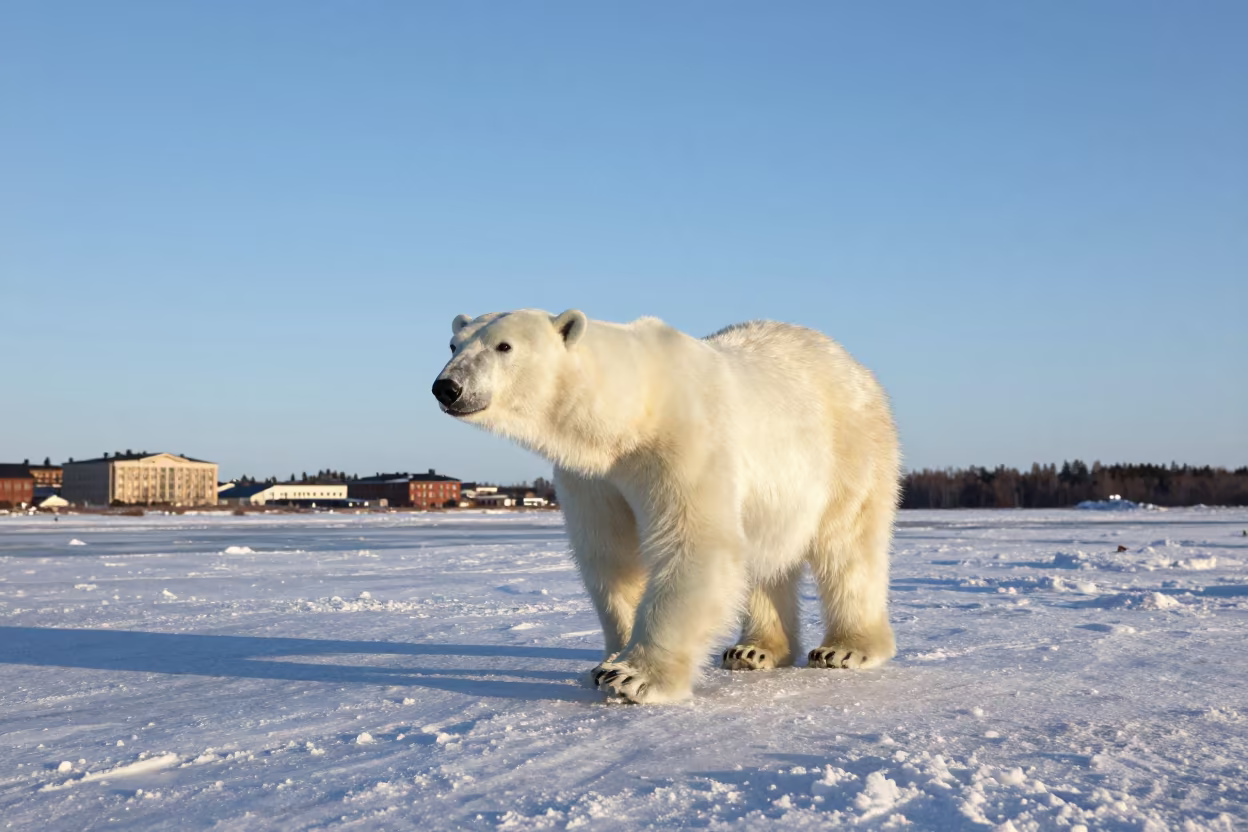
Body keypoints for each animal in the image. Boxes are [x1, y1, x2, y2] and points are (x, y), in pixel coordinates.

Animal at [432, 309, 901, 704]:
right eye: (453, 345)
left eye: (504, 346)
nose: (447, 387)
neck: (633, 410)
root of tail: (855, 366)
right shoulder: (593, 477)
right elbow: (612, 556)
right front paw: (606, 663)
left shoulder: (685, 443)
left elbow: (695, 542)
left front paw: (633, 678)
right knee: (767, 556)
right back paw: (754, 650)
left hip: (849, 448)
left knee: (848, 546)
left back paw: (845, 649)